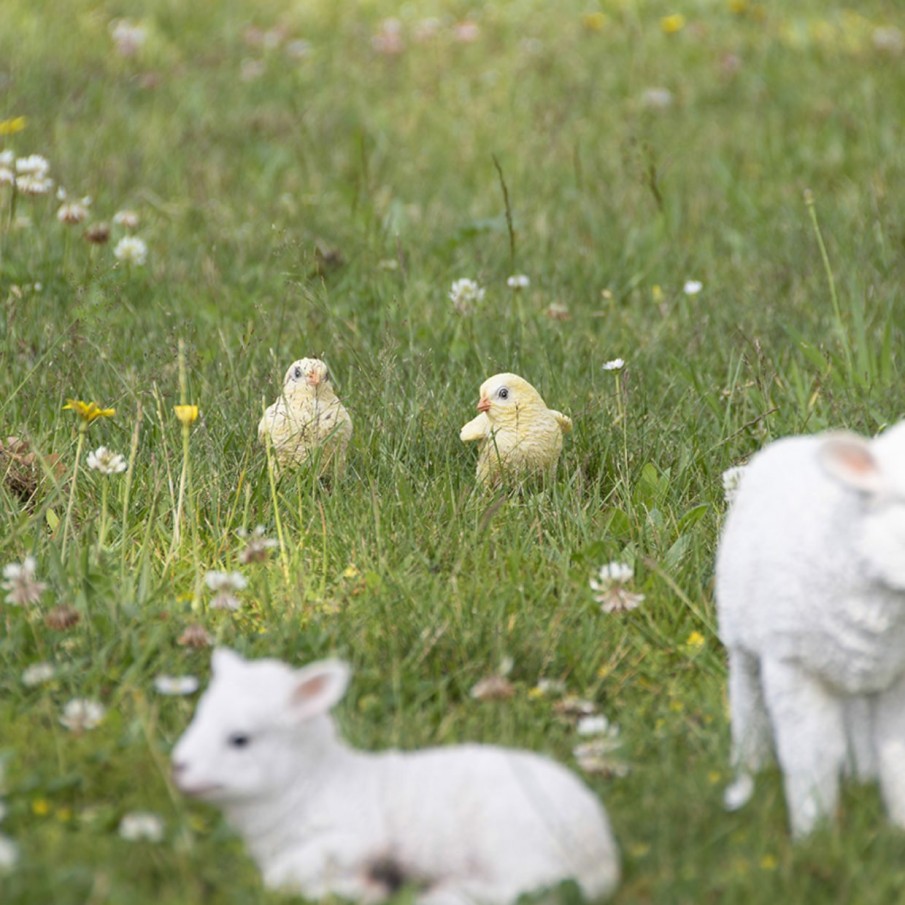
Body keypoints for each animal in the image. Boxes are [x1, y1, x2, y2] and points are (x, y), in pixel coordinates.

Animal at [171, 648, 620, 900]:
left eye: (240, 739)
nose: (178, 767)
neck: (312, 784)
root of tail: (602, 854)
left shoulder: (355, 837)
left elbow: (280, 878)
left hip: (513, 844)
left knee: (529, 888)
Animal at [716, 420, 905, 836]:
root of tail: (793, 442)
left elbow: (895, 753)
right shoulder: (794, 667)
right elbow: (810, 751)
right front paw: (814, 831)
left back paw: (861, 775)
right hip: (742, 637)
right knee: (747, 700)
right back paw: (751, 765)